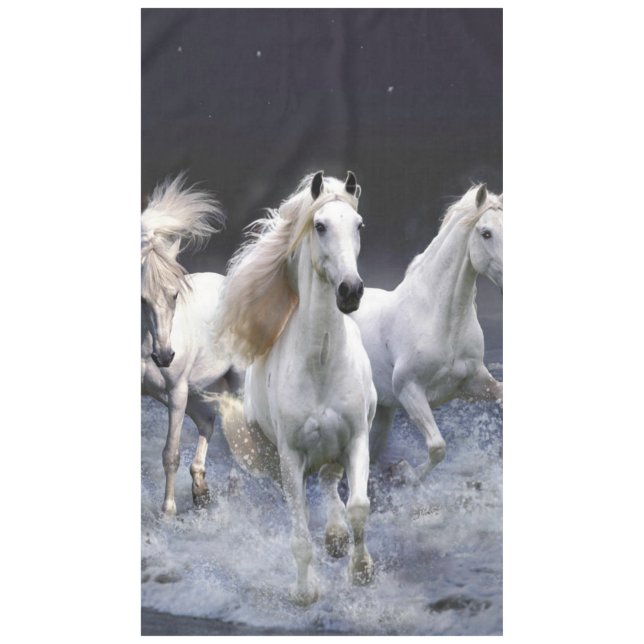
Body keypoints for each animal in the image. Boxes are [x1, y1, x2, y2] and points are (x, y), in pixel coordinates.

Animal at [141, 174, 243, 515]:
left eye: (174, 295)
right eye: (141, 299)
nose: (164, 356)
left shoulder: (176, 391)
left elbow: (170, 452)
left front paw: (168, 511)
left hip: (233, 382)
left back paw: (232, 489)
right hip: (196, 391)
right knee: (207, 423)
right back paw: (200, 489)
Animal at [216, 171, 377, 605]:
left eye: (359, 226)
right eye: (319, 226)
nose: (350, 291)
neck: (320, 364)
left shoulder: (357, 438)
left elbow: (358, 506)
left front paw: (361, 571)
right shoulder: (290, 457)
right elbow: (300, 534)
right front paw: (305, 592)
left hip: (337, 447)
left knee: (330, 482)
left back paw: (337, 538)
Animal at [351, 183, 503, 483]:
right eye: (486, 233)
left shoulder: (473, 383)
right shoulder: (410, 390)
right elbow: (437, 447)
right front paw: (405, 473)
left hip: (382, 412)